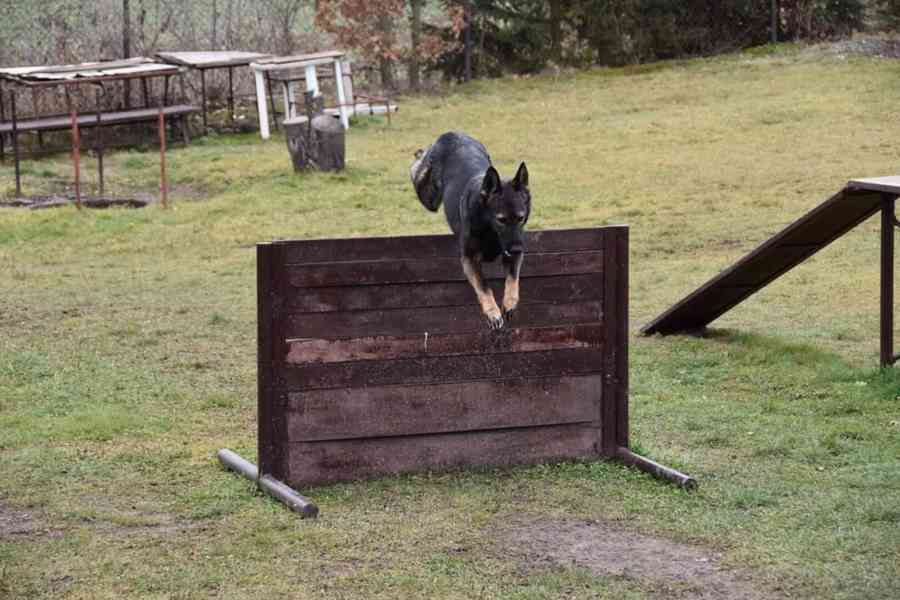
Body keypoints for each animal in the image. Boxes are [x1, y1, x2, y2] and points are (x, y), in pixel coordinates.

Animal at [412, 132, 532, 330]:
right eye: (501, 220)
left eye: (521, 218)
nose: (517, 249)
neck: (490, 229)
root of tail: (452, 133)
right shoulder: (469, 259)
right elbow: (484, 286)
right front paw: (493, 313)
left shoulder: (513, 253)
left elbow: (513, 278)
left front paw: (509, 303)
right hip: (430, 197)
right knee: (416, 171)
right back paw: (419, 155)